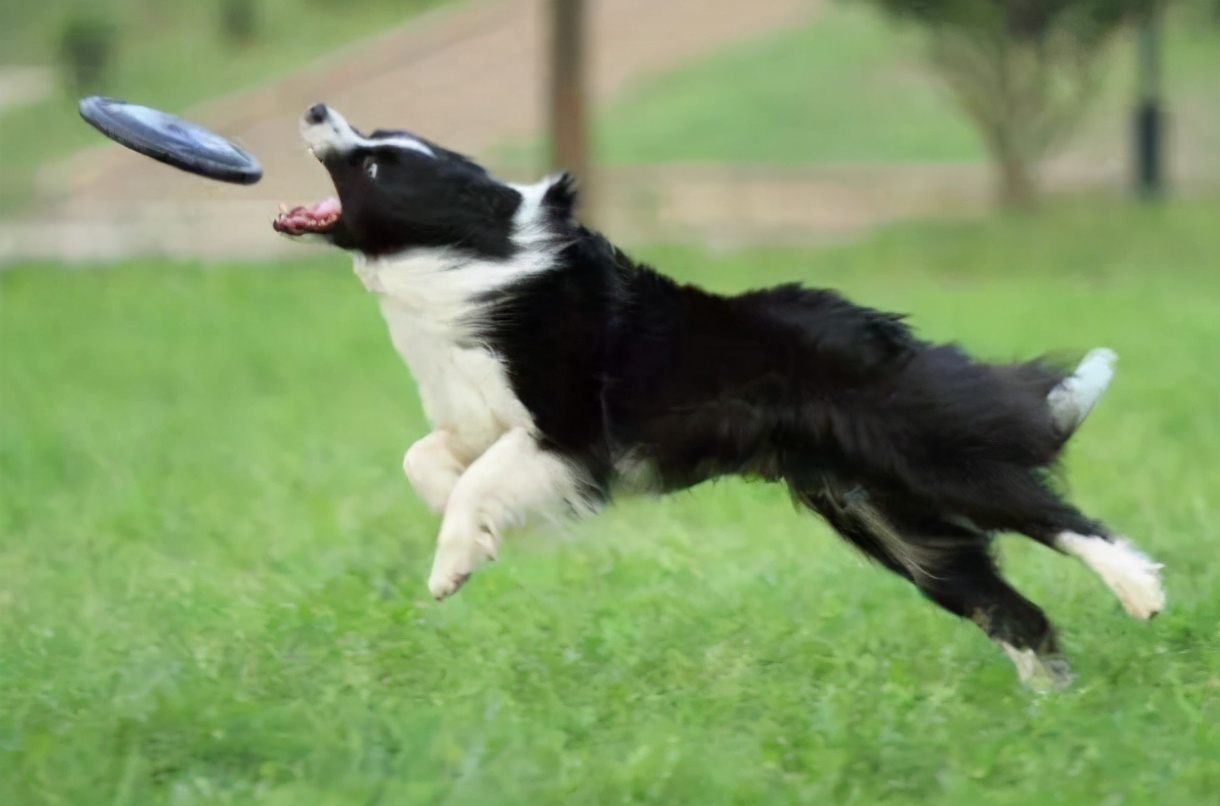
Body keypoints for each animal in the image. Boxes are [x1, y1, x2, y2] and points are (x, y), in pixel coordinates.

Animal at [276, 103, 1161, 687]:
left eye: (377, 164)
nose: (317, 108)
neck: (468, 262)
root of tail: (883, 329)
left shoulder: (567, 437)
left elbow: (480, 482)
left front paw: (453, 563)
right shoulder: (479, 417)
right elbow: (425, 458)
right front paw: (461, 527)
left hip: (923, 456)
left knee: (1051, 512)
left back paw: (1140, 590)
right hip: (884, 516)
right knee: (996, 596)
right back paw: (1047, 693)